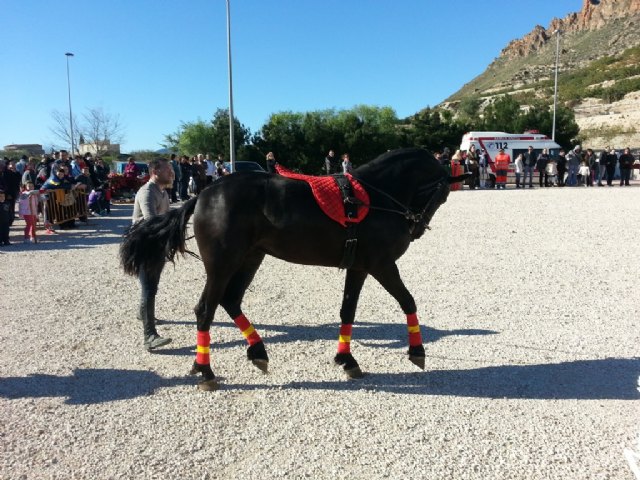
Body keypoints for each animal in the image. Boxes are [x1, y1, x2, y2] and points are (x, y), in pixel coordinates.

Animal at [120, 148, 467, 390]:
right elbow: (408, 301)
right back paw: (206, 370)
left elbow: (348, 310)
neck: (373, 198)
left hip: (251, 257)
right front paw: (417, 351)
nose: (417, 227)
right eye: (441, 195)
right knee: (206, 308)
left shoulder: (359, 266)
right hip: (222, 264)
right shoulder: (382, 264)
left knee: (231, 300)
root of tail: (204, 193)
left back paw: (258, 351)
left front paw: (346, 359)